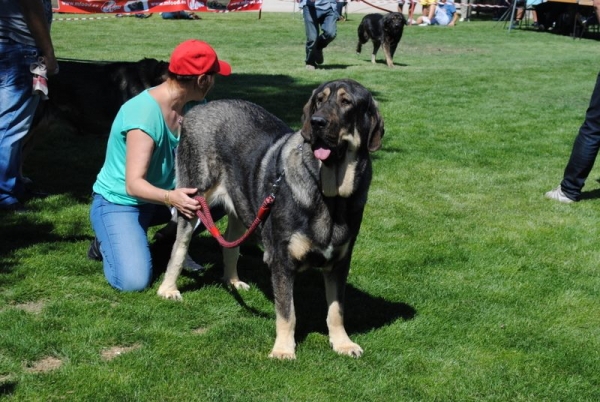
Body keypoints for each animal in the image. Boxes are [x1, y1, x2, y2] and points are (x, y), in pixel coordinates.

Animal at [157, 78, 384, 358]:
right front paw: (284, 350)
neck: (330, 196)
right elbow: (287, 312)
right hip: (192, 201)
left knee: (230, 246)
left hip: (241, 205)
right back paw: (168, 289)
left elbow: (336, 310)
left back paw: (233, 281)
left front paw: (343, 343)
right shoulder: (282, 261)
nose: (317, 122)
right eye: (319, 100)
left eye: (346, 102)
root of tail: (196, 110)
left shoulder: (339, 263)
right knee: (179, 247)